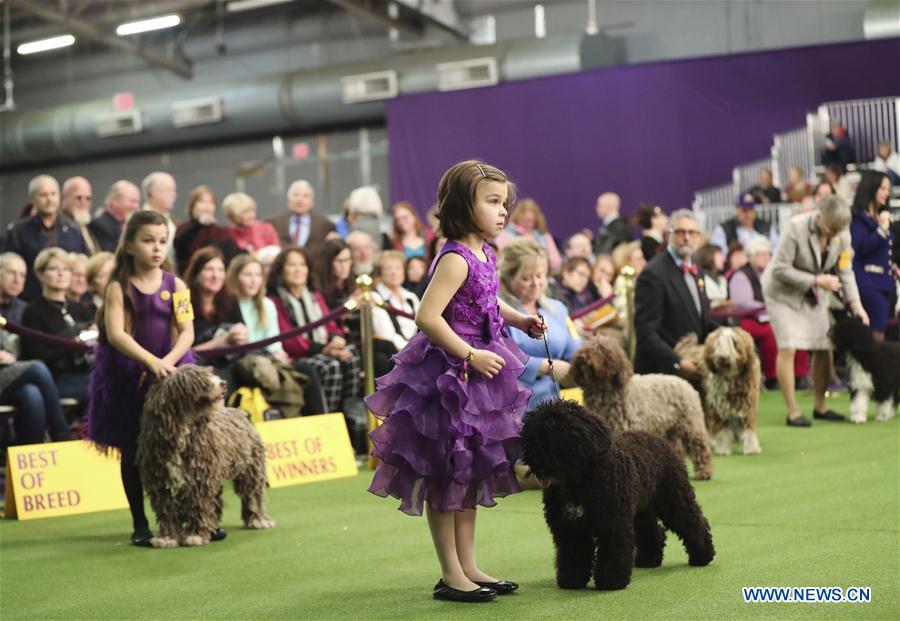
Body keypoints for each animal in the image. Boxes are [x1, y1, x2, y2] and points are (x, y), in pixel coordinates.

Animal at [138, 364, 274, 548]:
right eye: (199, 380)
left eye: (210, 374)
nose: (223, 383)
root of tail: (238, 412)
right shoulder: (161, 482)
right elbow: (167, 511)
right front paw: (168, 538)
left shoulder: (199, 478)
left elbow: (199, 506)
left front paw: (196, 535)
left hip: (250, 467)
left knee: (252, 493)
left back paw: (258, 520)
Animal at [520, 400, 716, 588]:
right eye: (533, 437)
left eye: (558, 435)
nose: (536, 461)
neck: (578, 483)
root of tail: (660, 440)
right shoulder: (570, 529)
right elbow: (573, 556)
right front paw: (571, 580)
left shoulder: (613, 524)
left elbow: (613, 553)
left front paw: (611, 581)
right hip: (641, 510)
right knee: (654, 531)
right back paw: (649, 560)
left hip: (674, 500)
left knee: (694, 522)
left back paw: (703, 556)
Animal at [572, 336, 712, 478]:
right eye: (585, 347)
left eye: (600, 349)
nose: (581, 357)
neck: (602, 390)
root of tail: (683, 382)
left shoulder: (626, 426)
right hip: (668, 430)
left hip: (691, 424)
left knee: (700, 447)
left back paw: (704, 472)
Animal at [676, 324, 760, 456]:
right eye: (718, 344)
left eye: (733, 342)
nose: (723, 357)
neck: (731, 378)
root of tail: (687, 349)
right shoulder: (718, 407)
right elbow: (722, 430)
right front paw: (723, 449)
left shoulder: (747, 405)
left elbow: (748, 428)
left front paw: (751, 448)